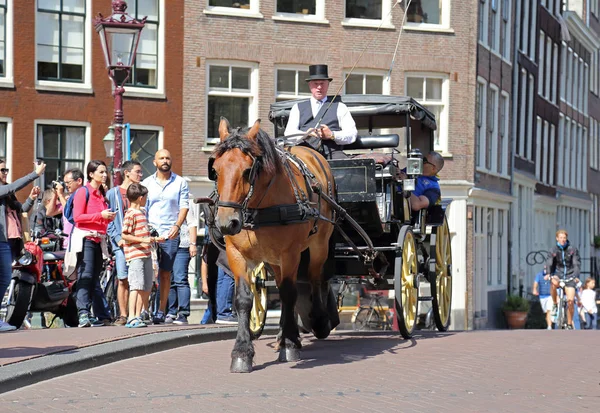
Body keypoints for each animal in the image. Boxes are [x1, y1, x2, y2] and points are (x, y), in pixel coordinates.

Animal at [209, 117, 336, 372]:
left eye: (248, 170)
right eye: (215, 170)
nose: (227, 223)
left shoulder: (290, 253)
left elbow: (289, 293)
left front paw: (290, 345)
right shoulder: (237, 254)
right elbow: (244, 299)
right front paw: (242, 352)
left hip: (319, 245)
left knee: (315, 277)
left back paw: (316, 322)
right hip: (274, 259)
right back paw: (283, 335)